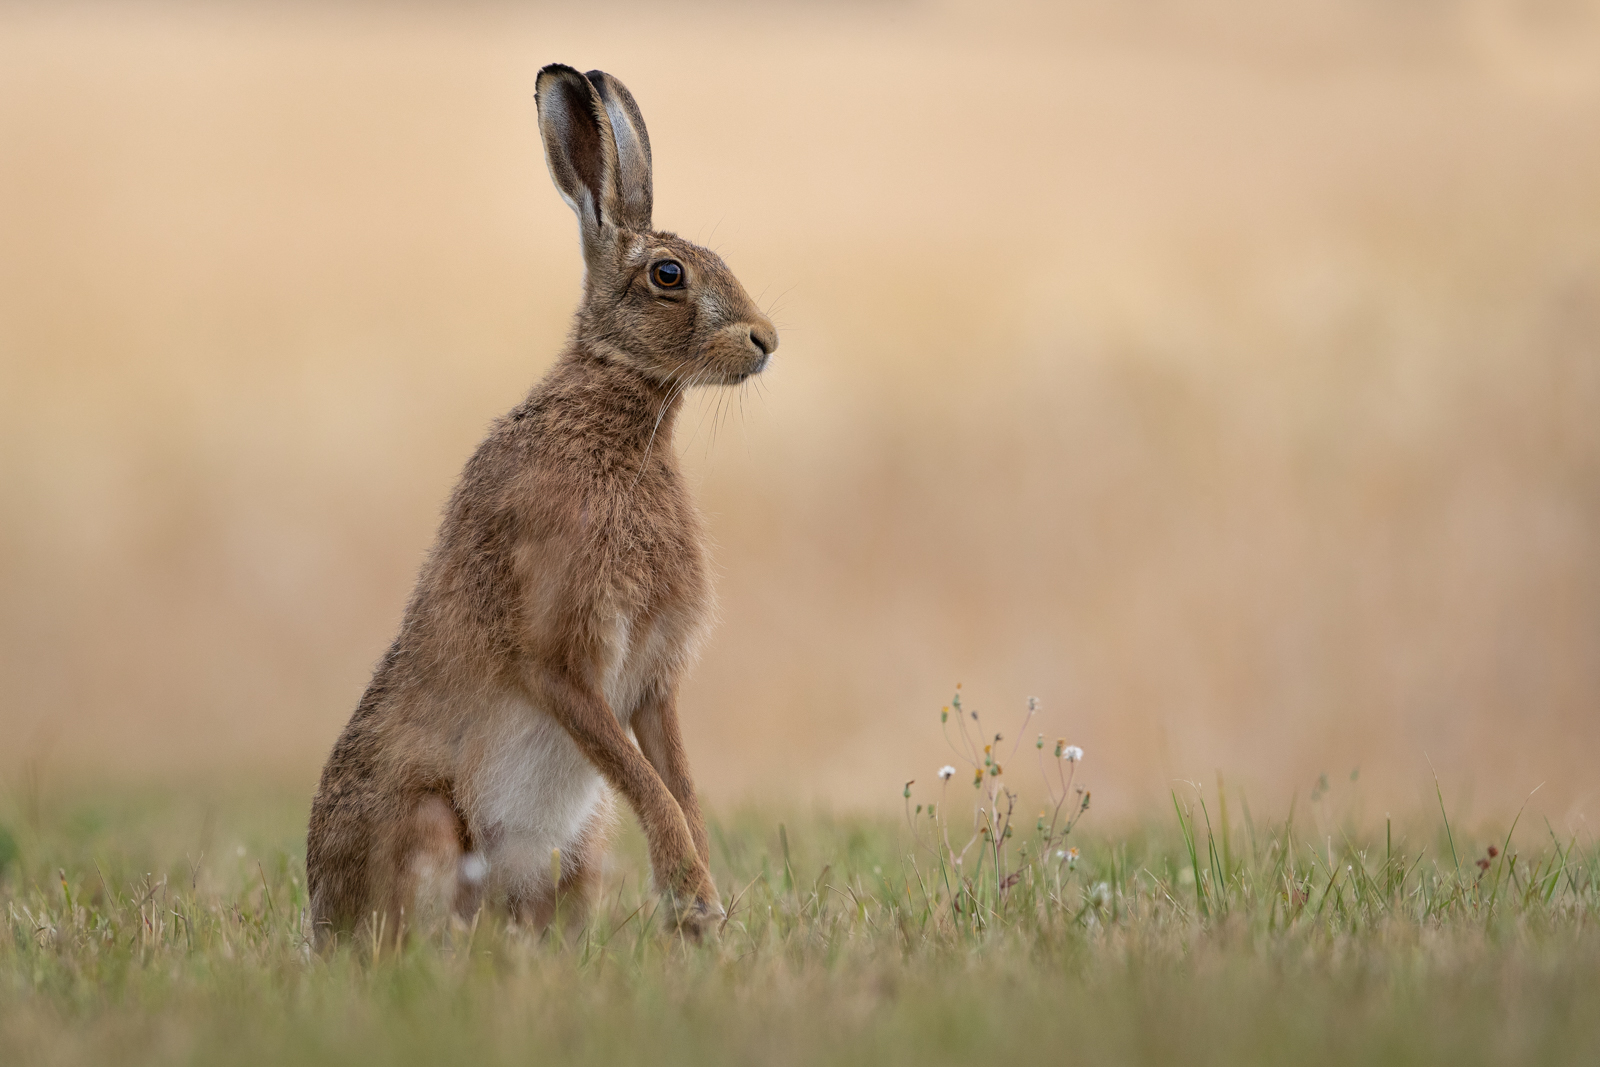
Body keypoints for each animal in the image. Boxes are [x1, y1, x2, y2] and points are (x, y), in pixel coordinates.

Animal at [305, 63, 776, 946]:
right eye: (669, 275)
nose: (766, 339)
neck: (619, 411)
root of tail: (322, 921)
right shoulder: (560, 654)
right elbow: (647, 781)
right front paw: (695, 900)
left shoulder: (652, 680)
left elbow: (681, 786)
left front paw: (704, 911)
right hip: (427, 824)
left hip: (580, 849)